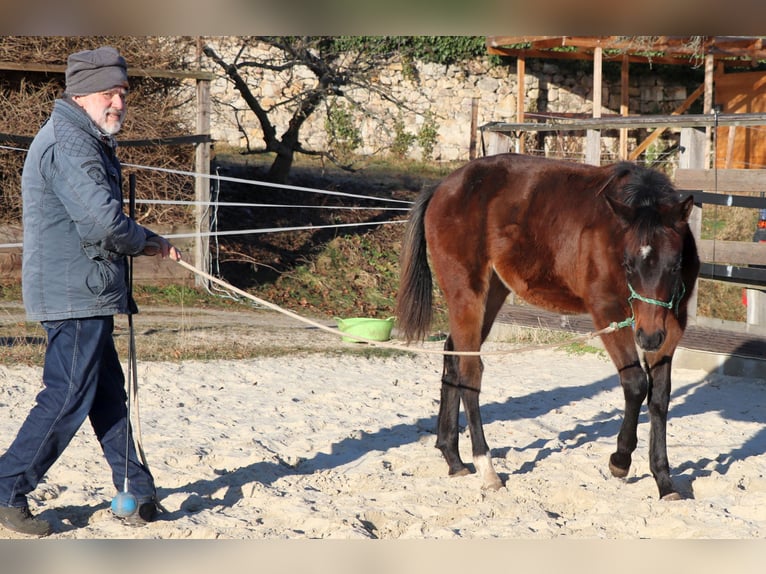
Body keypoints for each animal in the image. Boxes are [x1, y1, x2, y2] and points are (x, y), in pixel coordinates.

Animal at [396, 153, 699, 500]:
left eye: (675, 265)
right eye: (627, 264)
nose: (648, 337)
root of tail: (442, 188)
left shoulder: (671, 324)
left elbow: (660, 397)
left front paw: (664, 480)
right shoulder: (607, 312)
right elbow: (636, 384)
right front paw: (620, 461)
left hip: (493, 291)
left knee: (453, 355)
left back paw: (453, 457)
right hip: (466, 291)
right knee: (470, 372)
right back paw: (486, 468)